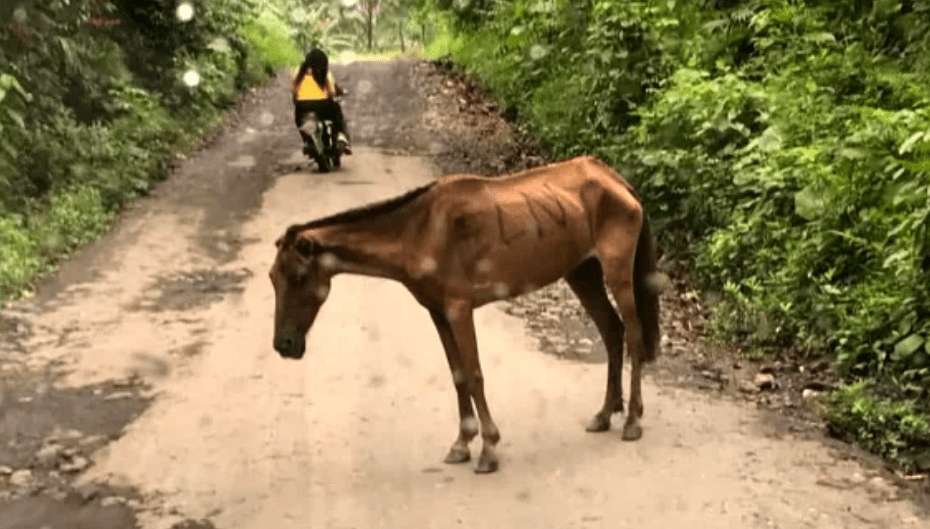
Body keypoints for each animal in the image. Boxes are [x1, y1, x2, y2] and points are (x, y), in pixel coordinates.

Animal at [266, 155, 660, 472]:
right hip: (582, 273)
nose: (283, 345)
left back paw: (633, 420)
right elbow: (457, 375)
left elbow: (473, 374)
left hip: (616, 271)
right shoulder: (437, 312)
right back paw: (605, 413)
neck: (419, 231)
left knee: (634, 335)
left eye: (298, 278)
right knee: (612, 332)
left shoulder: (459, 309)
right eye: (272, 278)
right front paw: (462, 442)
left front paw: (488, 448)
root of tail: (614, 178)